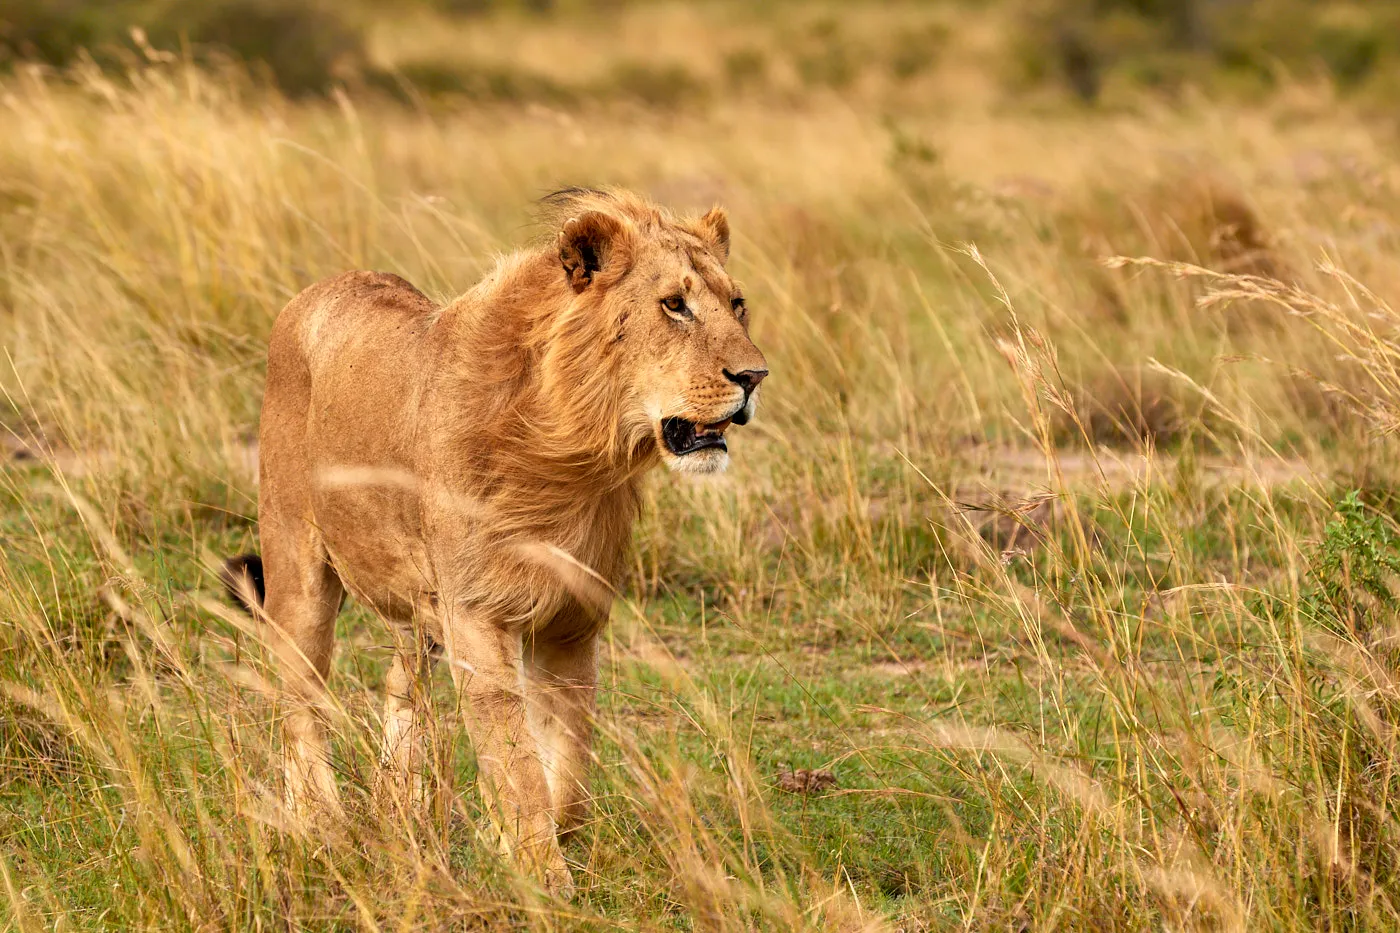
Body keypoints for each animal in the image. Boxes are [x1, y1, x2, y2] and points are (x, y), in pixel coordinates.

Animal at [223, 187, 767, 897]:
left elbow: (568, 766)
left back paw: (402, 806)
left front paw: (524, 845)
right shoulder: (479, 615)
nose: (755, 376)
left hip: (418, 599)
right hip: (299, 571)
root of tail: (317, 289)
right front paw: (542, 875)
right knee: (299, 700)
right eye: (673, 305)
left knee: (401, 681)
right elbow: (515, 760)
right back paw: (319, 824)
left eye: (737, 304)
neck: (573, 455)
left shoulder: (572, 620)